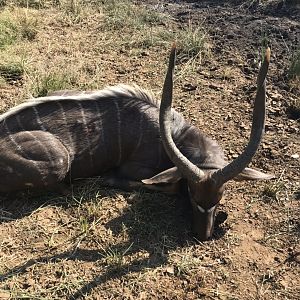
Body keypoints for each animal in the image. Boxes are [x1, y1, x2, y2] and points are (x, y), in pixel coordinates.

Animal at [0, 45, 274, 240]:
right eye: (191, 192)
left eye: (219, 197)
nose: (203, 235)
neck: (174, 134)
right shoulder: (136, 169)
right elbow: (159, 185)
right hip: (60, 159)